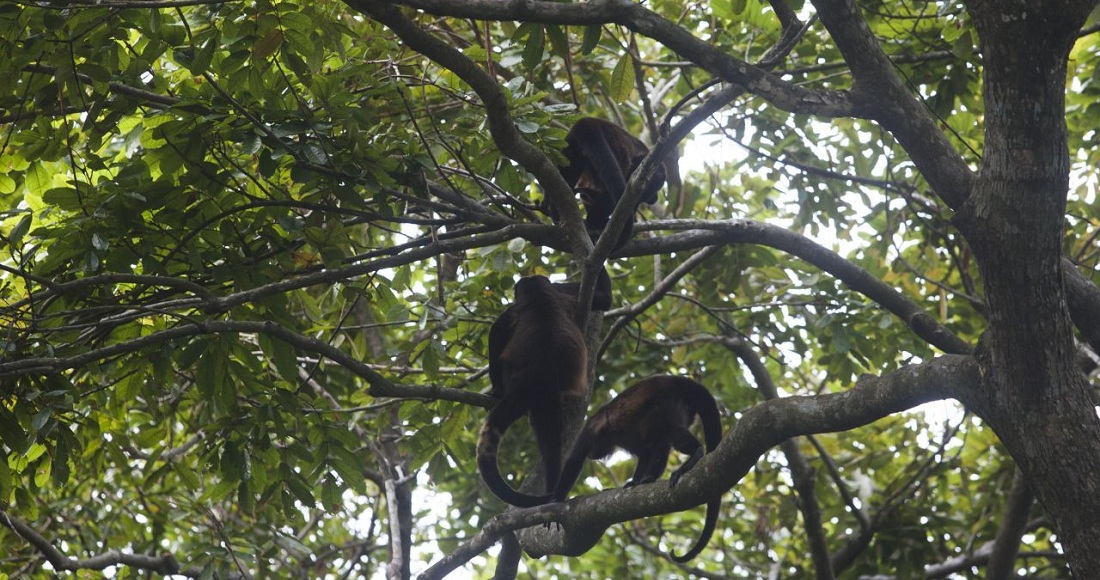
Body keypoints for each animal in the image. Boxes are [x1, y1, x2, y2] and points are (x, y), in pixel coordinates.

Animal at [478, 273, 598, 507]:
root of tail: (540, 374)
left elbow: (496, 332)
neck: (540, 293)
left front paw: (495, 390)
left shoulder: (513, 311)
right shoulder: (565, 294)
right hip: (548, 398)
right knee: (551, 440)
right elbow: (604, 296)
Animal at [552, 375, 722, 562]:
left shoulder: (590, 430)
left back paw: (695, 454)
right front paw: (636, 481)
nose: (591, 455)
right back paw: (649, 478)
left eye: (593, 449)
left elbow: (574, 461)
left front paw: (556, 500)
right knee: (659, 439)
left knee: (669, 430)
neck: (607, 435)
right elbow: (645, 453)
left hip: (669, 402)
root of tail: (680, 381)